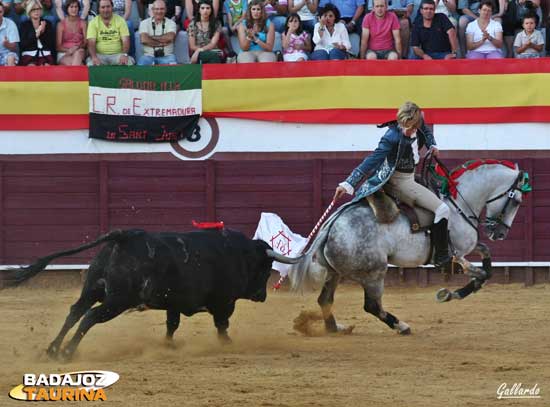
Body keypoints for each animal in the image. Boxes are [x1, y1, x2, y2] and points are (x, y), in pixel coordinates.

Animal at [1, 230, 302, 360]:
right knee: (90, 317)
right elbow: (221, 324)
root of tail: (124, 237)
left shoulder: (174, 301)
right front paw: (227, 343)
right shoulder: (223, 302)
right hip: (118, 300)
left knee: (75, 311)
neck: (239, 254)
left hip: (93, 288)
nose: (261, 295)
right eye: (265, 269)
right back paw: (67, 352)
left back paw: (52, 350)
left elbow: (172, 324)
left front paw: (168, 345)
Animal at [292, 161, 532, 336]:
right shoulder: (458, 254)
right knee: (371, 305)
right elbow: (482, 273)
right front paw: (449, 294)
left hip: (334, 272)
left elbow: (487, 259)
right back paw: (402, 326)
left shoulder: (468, 248)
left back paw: (335, 329)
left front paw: (453, 292)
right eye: (517, 201)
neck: (460, 205)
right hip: (374, 273)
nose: (499, 233)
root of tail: (331, 225)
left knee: (325, 299)